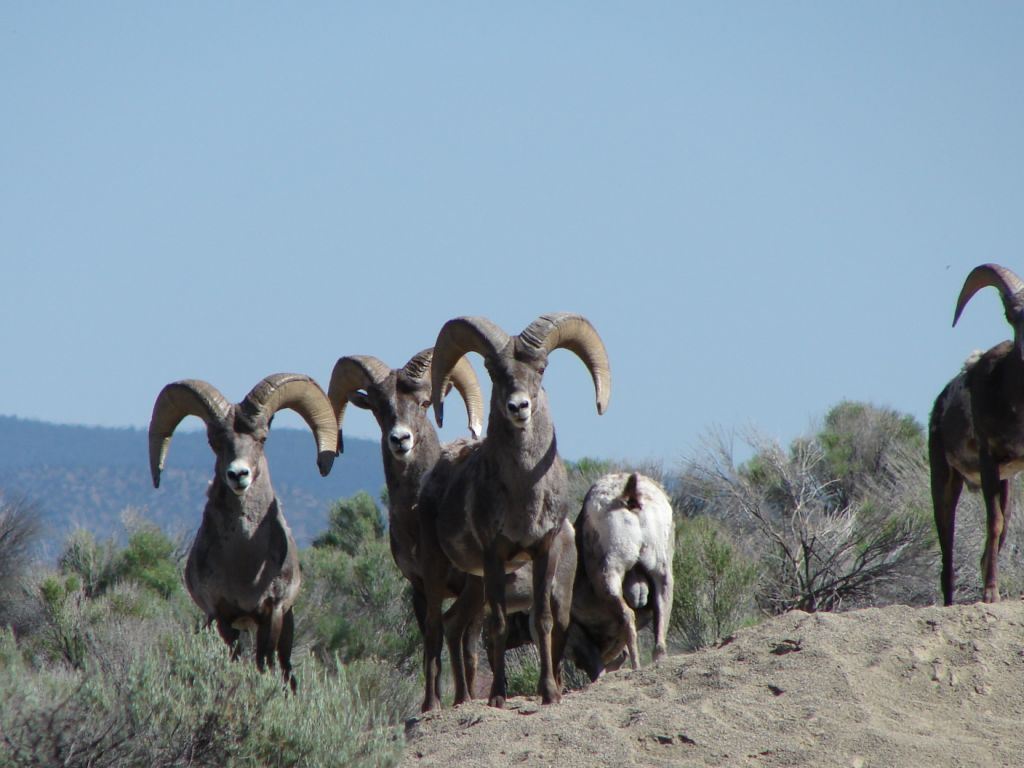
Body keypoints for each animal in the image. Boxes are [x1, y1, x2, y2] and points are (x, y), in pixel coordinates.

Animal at [148, 374, 335, 692]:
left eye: (262, 439)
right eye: (214, 442)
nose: (238, 475)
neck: (245, 562)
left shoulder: (272, 613)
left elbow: (265, 663)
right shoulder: (223, 615)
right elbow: (236, 659)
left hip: (286, 625)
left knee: (286, 669)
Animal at [415, 313, 606, 708]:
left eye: (542, 368)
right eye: (493, 371)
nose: (518, 407)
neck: (524, 495)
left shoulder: (544, 551)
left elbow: (543, 622)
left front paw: (550, 694)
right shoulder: (494, 555)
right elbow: (499, 627)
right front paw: (497, 698)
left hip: (473, 584)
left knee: (453, 625)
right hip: (436, 568)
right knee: (434, 628)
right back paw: (432, 705)